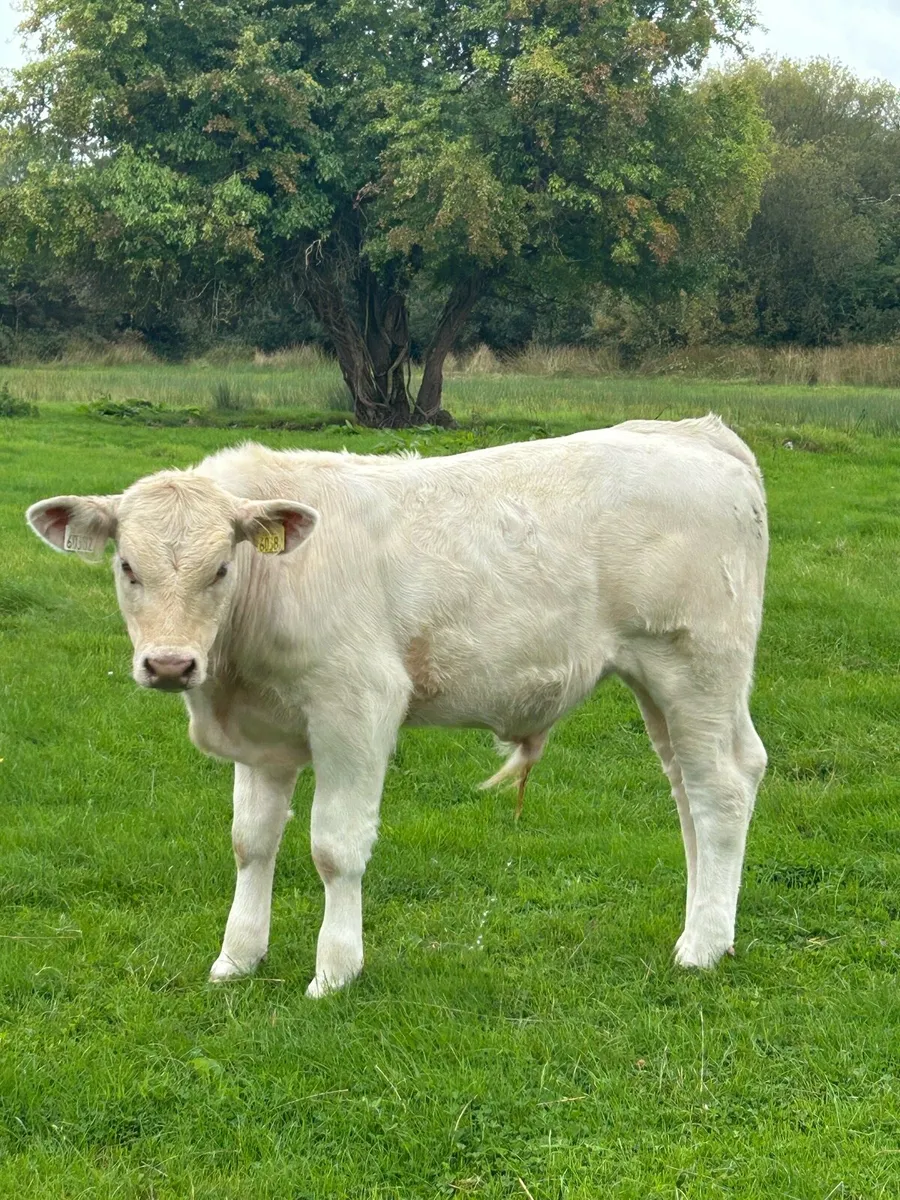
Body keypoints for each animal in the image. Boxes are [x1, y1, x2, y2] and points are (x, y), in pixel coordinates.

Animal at [26, 415, 768, 996]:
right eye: (127, 567)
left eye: (221, 568)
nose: (170, 664)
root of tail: (696, 432)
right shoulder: (264, 735)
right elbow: (251, 842)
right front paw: (237, 958)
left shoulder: (357, 705)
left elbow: (334, 847)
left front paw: (334, 971)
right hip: (658, 682)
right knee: (689, 791)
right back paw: (710, 927)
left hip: (697, 665)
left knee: (722, 787)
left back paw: (701, 947)